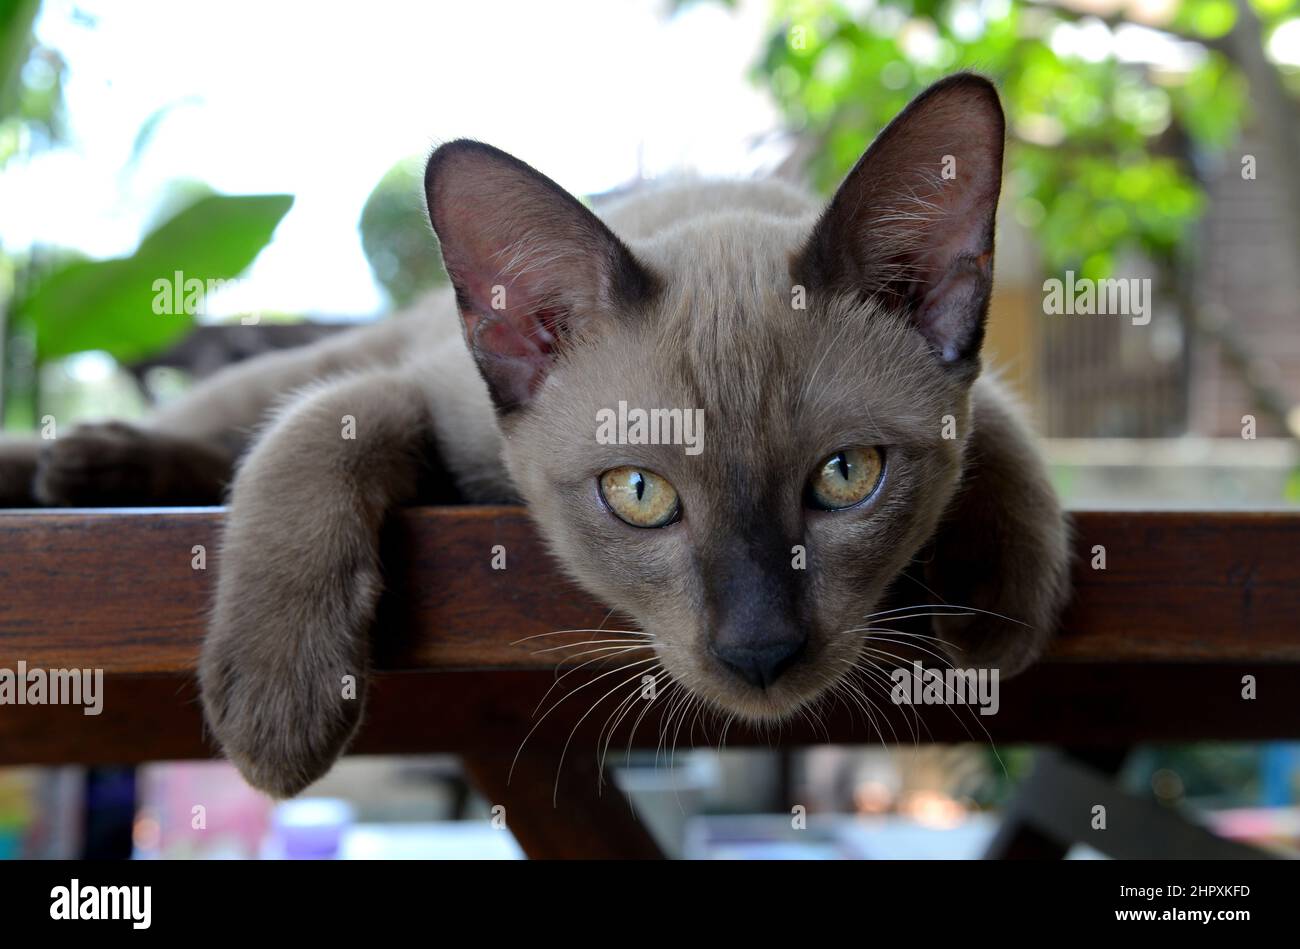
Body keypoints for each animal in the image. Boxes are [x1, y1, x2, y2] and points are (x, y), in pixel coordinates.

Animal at [0, 74, 1066, 790]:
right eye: (640, 495)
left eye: (848, 475)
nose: (760, 653)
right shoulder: (419, 397)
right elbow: (312, 434)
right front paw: (276, 707)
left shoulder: (979, 396)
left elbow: (1008, 435)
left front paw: (997, 609)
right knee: (231, 420)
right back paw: (73, 460)